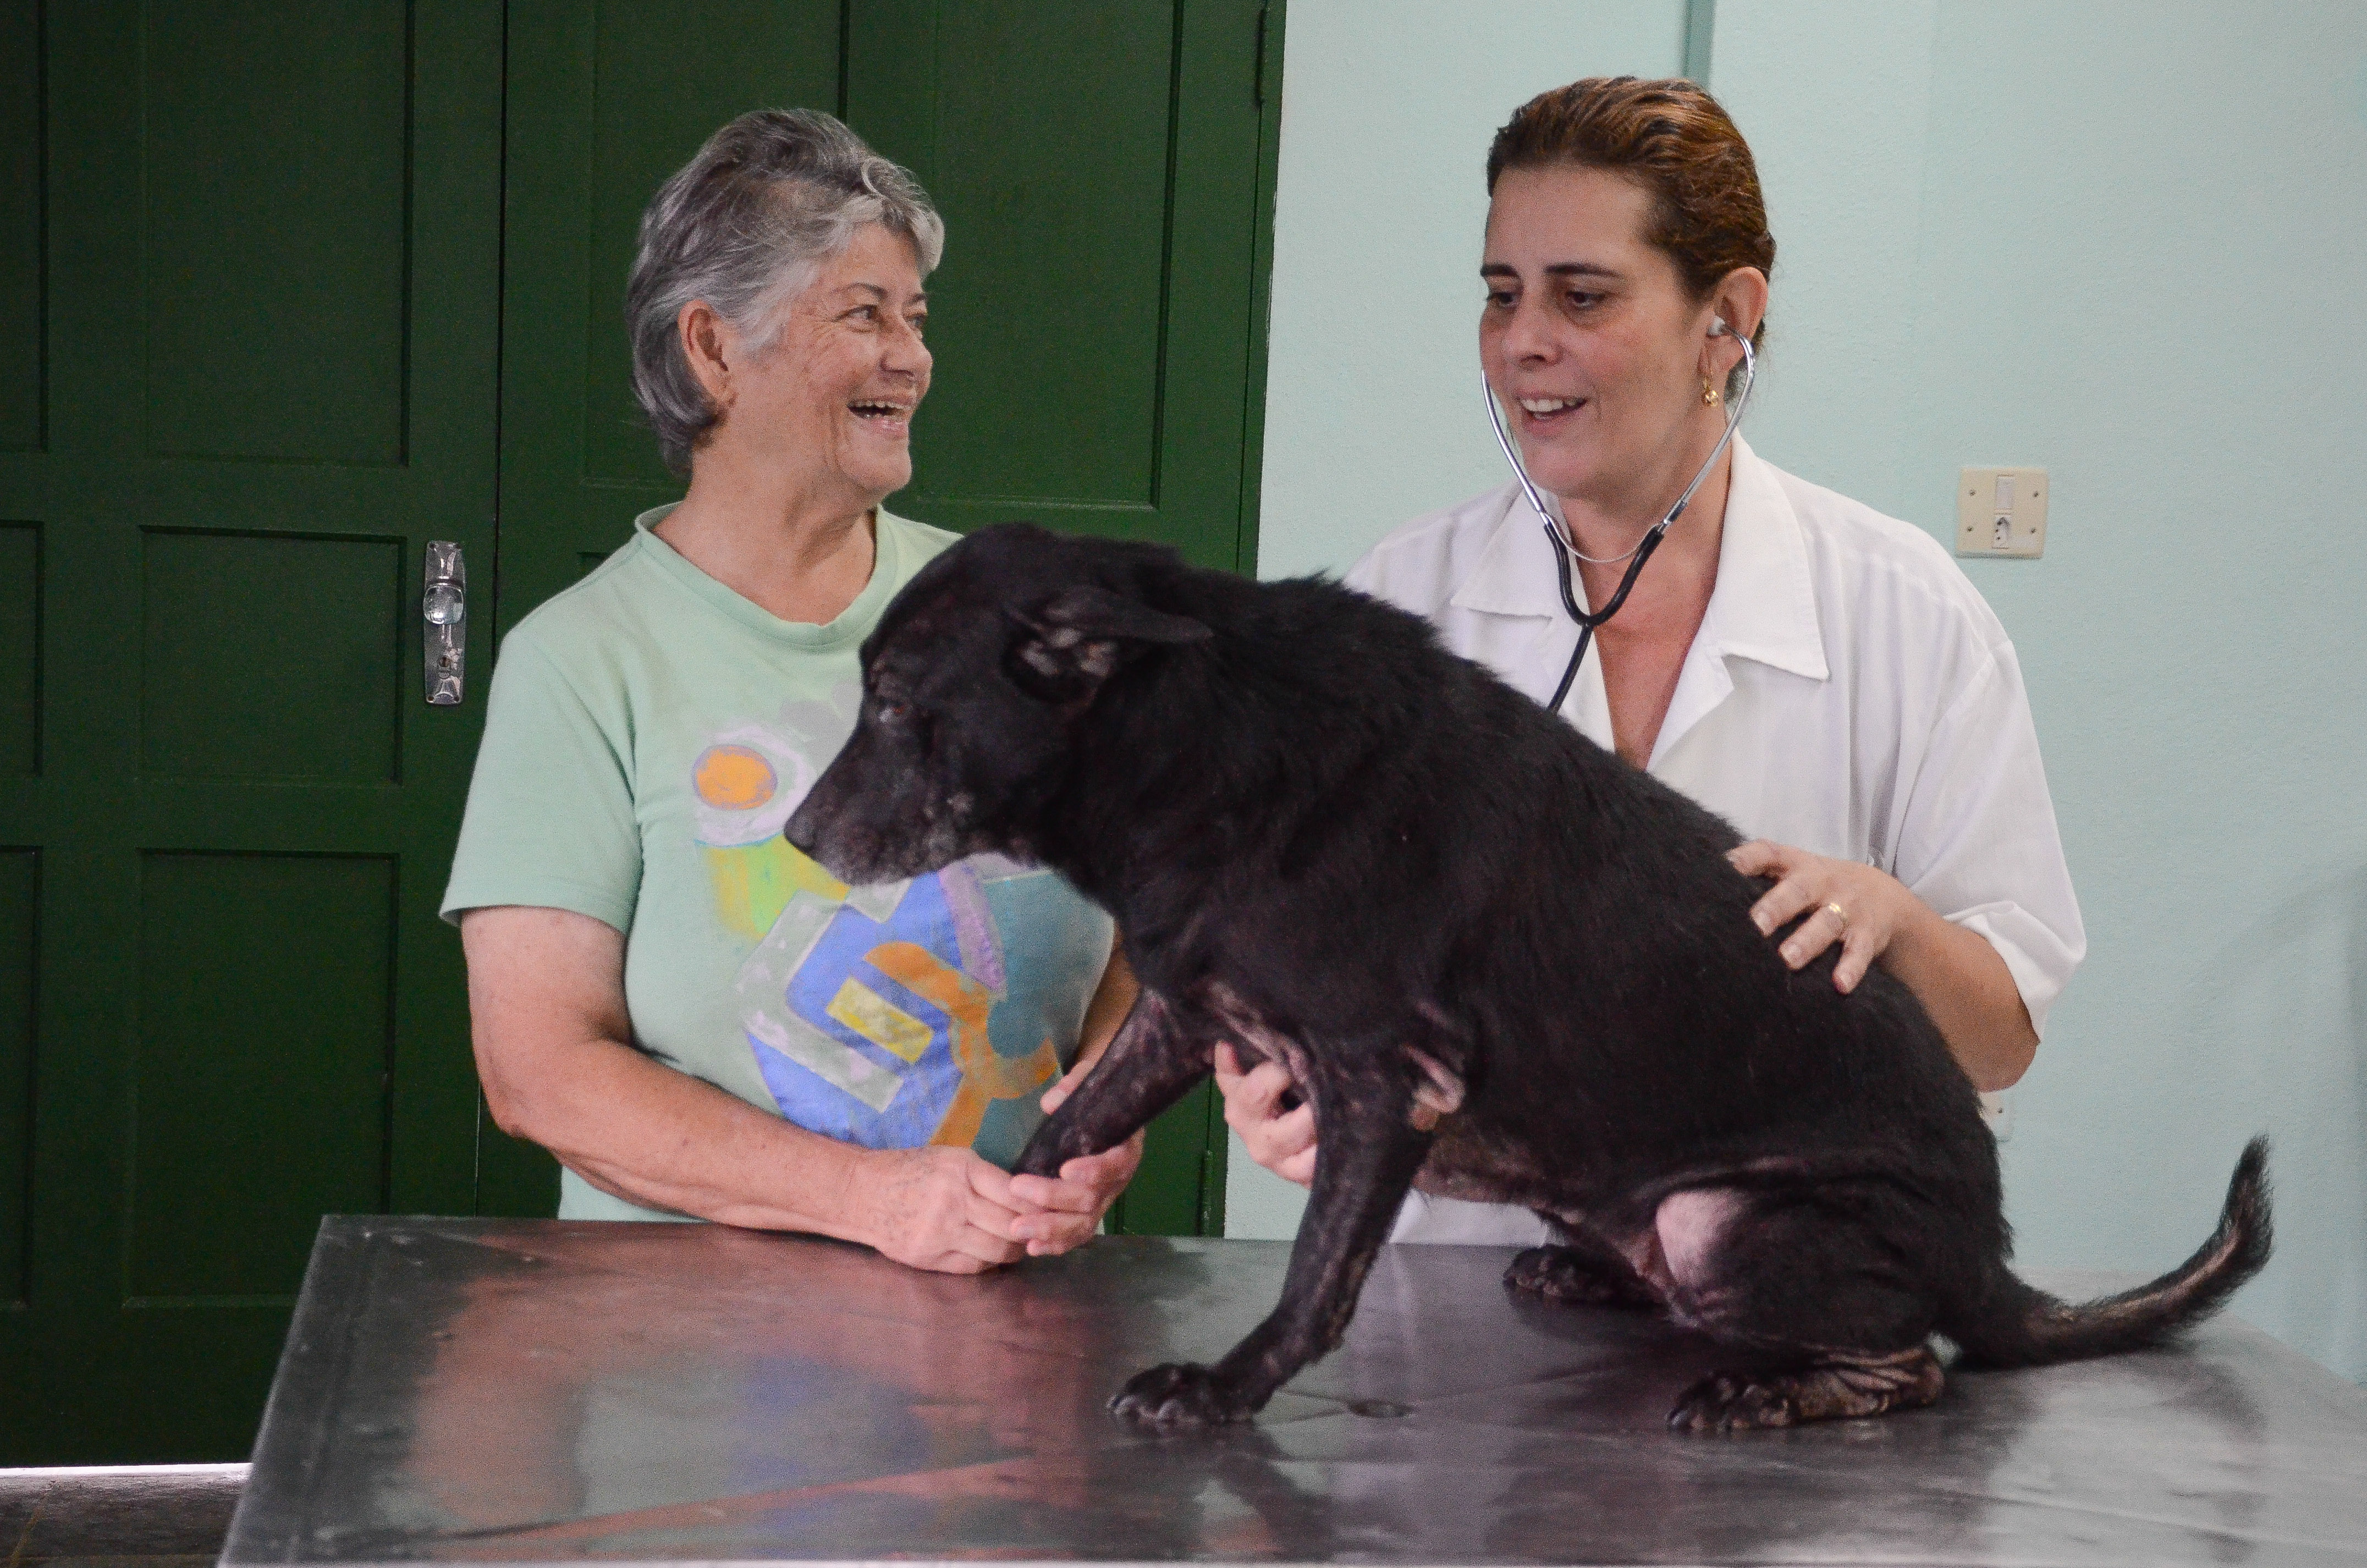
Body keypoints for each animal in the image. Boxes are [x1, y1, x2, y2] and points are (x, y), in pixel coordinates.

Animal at [795, 526, 2272, 1440]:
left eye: (892, 705)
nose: (799, 839)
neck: (1194, 734)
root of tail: (1989, 1263)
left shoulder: (1385, 1078)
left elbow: (1316, 1279)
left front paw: (1219, 1390)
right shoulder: (1180, 1009)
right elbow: (1062, 1127)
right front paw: (985, 1222)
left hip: (1729, 1226)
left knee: (1909, 1364)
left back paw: (1761, 1393)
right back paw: (1587, 1277)